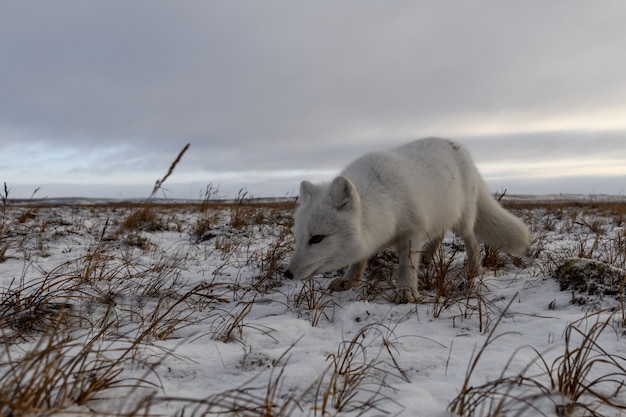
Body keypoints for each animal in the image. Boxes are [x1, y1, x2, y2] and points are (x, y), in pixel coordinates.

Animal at [284, 136, 532, 302]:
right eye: (299, 238)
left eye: (317, 238)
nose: (287, 274)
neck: (385, 199)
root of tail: (461, 149)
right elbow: (358, 259)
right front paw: (349, 279)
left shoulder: (412, 228)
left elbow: (406, 264)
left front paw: (406, 290)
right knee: (439, 233)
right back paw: (428, 257)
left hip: (463, 219)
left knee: (471, 241)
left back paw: (474, 269)